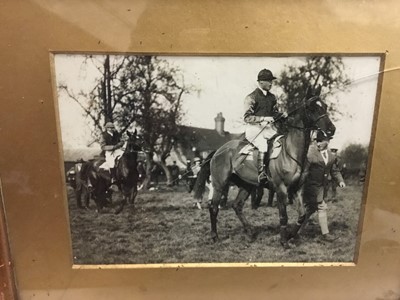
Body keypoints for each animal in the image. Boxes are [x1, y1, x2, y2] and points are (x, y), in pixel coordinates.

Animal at [192, 86, 336, 248]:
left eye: (325, 106)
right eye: (312, 108)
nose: (331, 129)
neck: (291, 152)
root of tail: (218, 150)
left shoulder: (298, 188)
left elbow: (302, 215)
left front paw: (291, 235)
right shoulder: (281, 189)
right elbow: (283, 216)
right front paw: (283, 241)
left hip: (246, 184)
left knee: (237, 205)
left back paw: (250, 232)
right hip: (220, 184)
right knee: (214, 207)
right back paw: (215, 236)